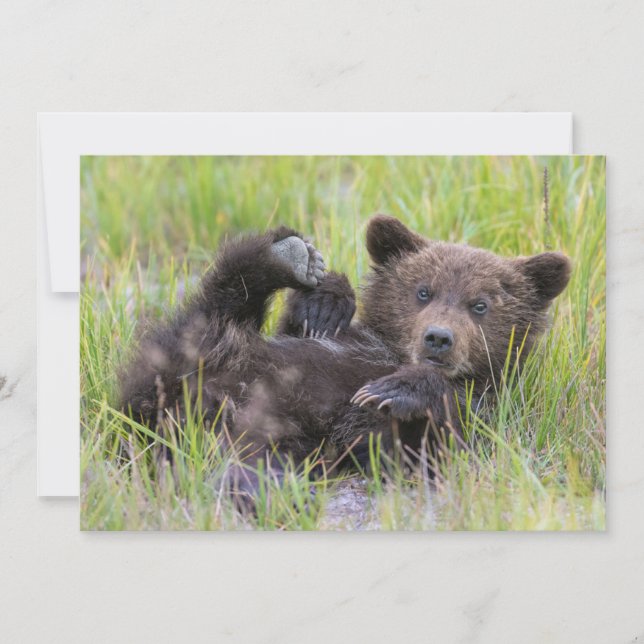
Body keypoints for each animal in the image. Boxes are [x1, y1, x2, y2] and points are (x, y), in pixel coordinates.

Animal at [119, 215, 571, 501]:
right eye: (423, 291)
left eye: (480, 305)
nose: (438, 338)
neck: (390, 350)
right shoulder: (334, 341)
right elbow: (304, 328)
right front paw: (326, 302)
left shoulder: (485, 409)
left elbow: (432, 442)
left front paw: (394, 390)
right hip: (193, 360)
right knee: (211, 309)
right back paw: (285, 255)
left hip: (272, 433)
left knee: (245, 457)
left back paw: (263, 489)